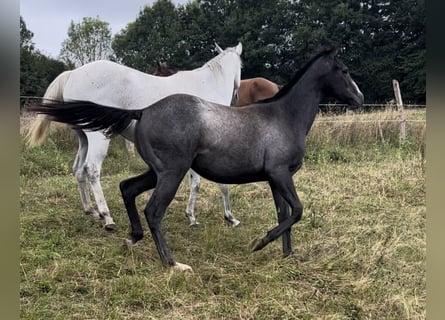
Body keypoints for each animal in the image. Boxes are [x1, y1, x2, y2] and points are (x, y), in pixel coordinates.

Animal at [26, 42, 243, 231]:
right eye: (241, 65)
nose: (237, 96)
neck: (206, 86)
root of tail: (73, 74)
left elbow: (197, 183)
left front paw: (194, 216)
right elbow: (215, 184)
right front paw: (227, 217)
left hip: (83, 138)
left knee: (79, 170)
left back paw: (91, 211)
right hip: (98, 137)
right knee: (92, 170)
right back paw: (107, 217)